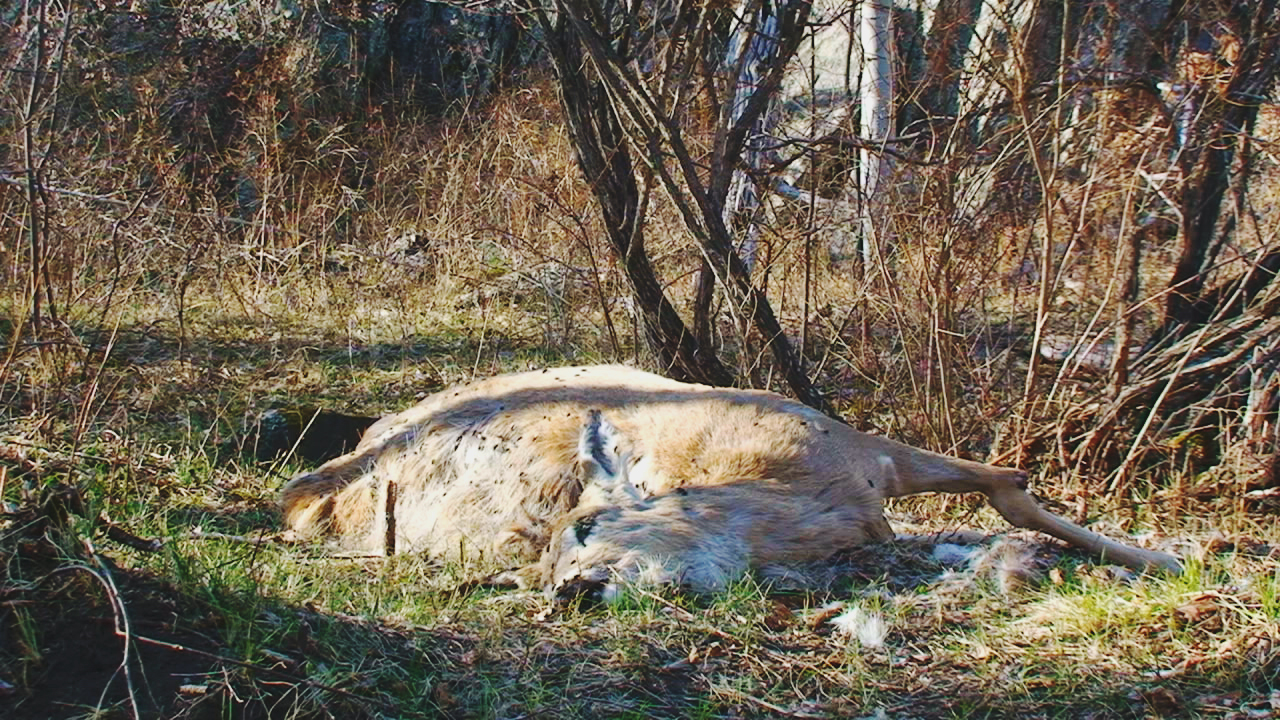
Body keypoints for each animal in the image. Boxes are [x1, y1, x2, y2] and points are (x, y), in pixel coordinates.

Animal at [280, 365, 1180, 596]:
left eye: (588, 528)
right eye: (559, 556)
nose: (570, 588)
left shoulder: (861, 453)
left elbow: (1006, 479)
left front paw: (1168, 559)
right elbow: (1004, 481)